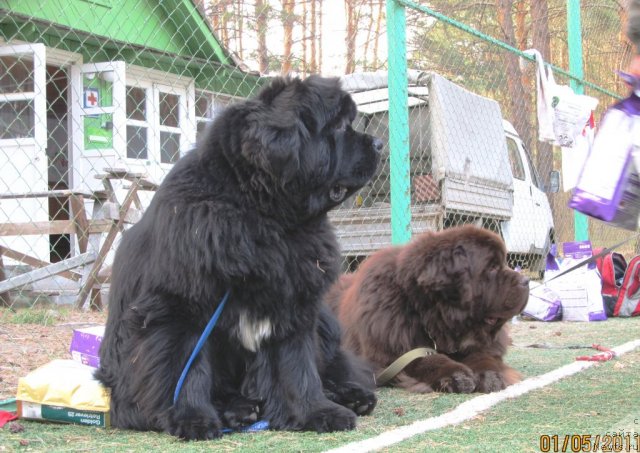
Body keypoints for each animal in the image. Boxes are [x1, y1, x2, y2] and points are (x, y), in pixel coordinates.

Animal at [96, 76, 380, 440]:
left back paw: (352, 396)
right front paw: (192, 418)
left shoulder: (293, 302)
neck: (262, 216)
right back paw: (238, 409)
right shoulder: (177, 307)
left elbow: (296, 364)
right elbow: (186, 367)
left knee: (334, 366)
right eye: (340, 126)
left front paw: (315, 411)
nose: (379, 143)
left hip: (326, 322)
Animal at [324, 225, 528, 392]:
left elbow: (484, 357)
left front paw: (490, 375)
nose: (526, 281)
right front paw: (455, 374)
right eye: (492, 268)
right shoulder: (386, 355)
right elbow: (423, 359)